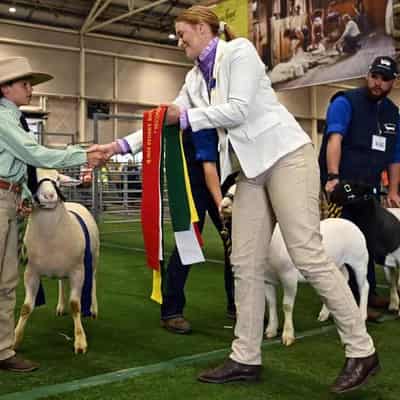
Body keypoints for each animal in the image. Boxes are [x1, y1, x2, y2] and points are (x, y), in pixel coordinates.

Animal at [14, 169, 99, 354]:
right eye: (33, 179)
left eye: (58, 180)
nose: (50, 196)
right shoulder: (31, 272)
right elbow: (26, 308)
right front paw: (15, 339)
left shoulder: (78, 272)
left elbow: (75, 305)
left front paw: (80, 341)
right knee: (61, 282)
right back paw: (60, 306)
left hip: (94, 258)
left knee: (94, 279)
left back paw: (94, 309)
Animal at [264, 217, 370, 346]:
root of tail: (350, 223)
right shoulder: (267, 279)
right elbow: (271, 303)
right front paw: (271, 330)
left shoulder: (289, 276)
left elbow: (287, 305)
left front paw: (288, 335)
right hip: (337, 263)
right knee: (342, 279)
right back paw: (325, 314)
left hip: (359, 259)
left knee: (364, 286)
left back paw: (362, 315)